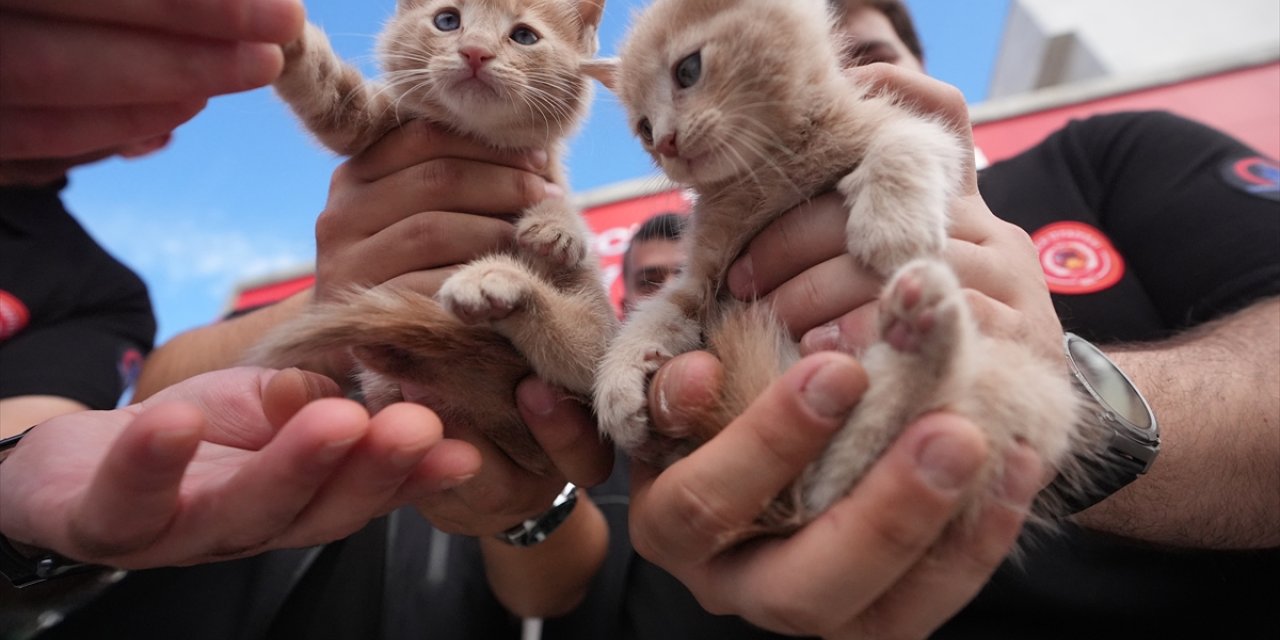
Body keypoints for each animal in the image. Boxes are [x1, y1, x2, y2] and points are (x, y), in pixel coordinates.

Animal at [247, 0, 616, 473]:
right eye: (447, 20)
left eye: (524, 36)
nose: (475, 51)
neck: (478, 134)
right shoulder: (373, 123)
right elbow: (330, 94)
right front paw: (288, 38)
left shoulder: (545, 169)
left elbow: (561, 202)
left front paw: (558, 227)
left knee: (581, 347)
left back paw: (493, 282)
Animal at [593, 0, 1085, 532]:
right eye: (643, 127)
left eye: (687, 70)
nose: (664, 142)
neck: (762, 172)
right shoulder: (703, 277)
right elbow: (659, 311)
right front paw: (618, 383)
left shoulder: (919, 128)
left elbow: (906, 140)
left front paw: (894, 229)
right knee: (831, 484)